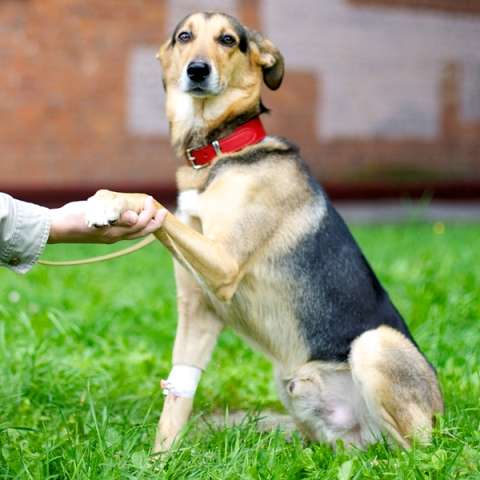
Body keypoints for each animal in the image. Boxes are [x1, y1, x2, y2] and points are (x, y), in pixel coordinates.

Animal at [85, 12, 442, 454]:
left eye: (228, 40)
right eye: (184, 36)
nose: (197, 70)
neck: (219, 151)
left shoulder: (222, 265)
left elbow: (153, 203)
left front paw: (112, 200)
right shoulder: (198, 308)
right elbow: (178, 396)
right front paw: (158, 460)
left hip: (376, 346)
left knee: (410, 452)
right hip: (296, 390)